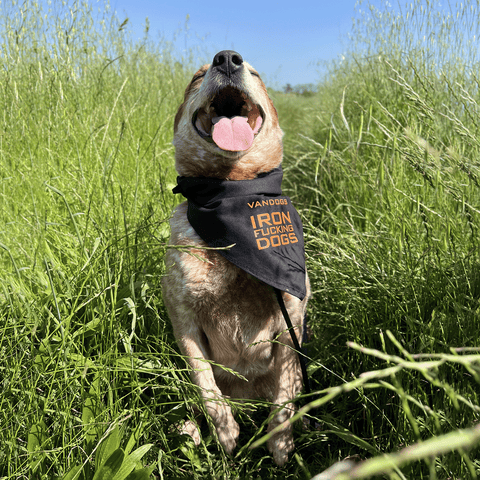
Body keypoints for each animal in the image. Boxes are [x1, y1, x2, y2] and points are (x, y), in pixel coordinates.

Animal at [162, 49, 312, 464]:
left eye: (256, 74)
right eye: (197, 76)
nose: (227, 58)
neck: (232, 188)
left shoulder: (291, 320)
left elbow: (283, 401)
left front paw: (280, 446)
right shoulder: (183, 320)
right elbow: (205, 384)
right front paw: (226, 433)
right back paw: (193, 431)